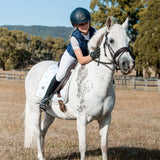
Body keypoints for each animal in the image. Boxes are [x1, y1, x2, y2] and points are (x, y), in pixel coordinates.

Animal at [23, 16, 134, 159]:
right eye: (111, 40)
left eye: (129, 41)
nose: (128, 64)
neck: (97, 81)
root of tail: (34, 68)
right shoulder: (81, 119)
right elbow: (83, 147)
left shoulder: (106, 118)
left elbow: (104, 146)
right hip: (35, 109)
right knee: (37, 131)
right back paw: (41, 156)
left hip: (50, 113)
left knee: (43, 131)